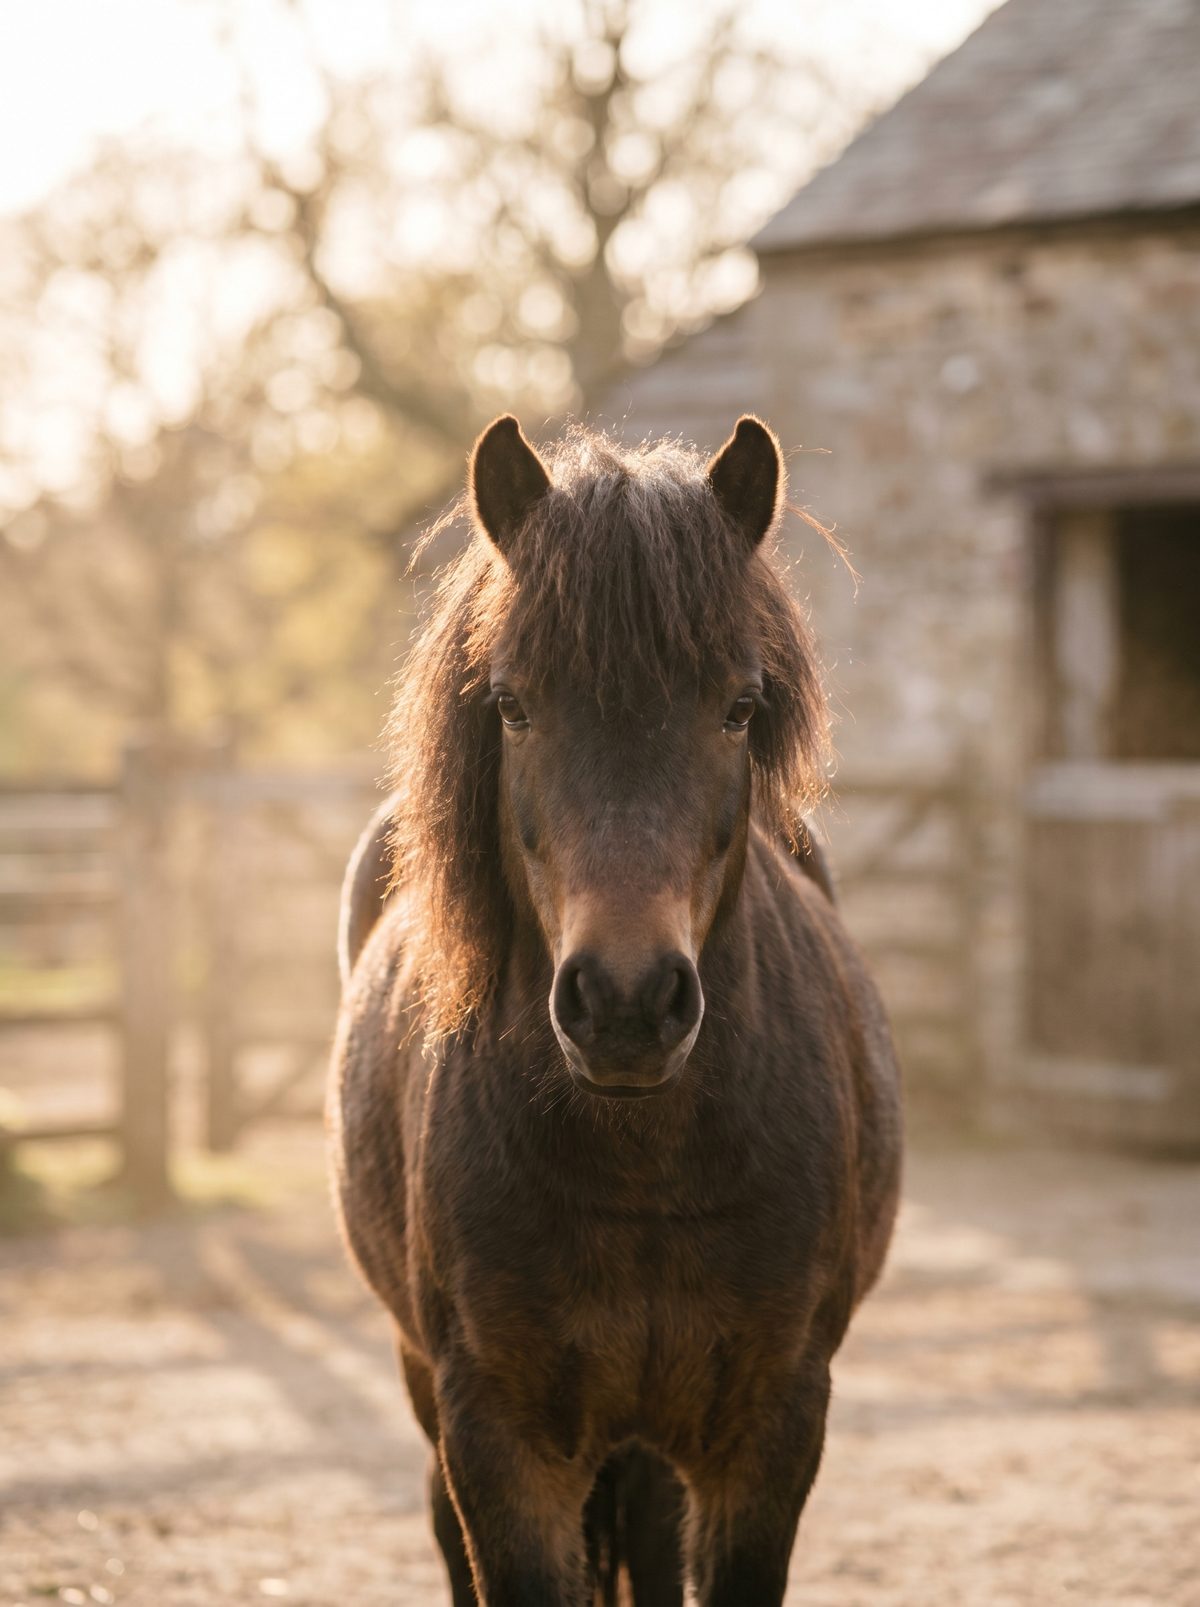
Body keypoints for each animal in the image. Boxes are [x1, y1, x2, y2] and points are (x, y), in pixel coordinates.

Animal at [328, 413, 902, 1606]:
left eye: (739, 706)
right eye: (511, 703)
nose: (627, 1001)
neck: (644, 1171)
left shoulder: (771, 1428)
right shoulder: (497, 1438)